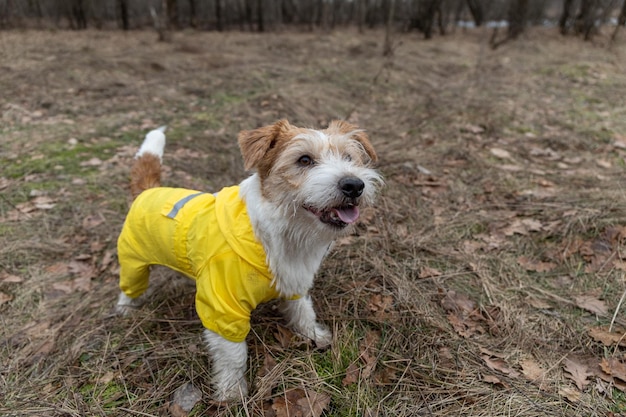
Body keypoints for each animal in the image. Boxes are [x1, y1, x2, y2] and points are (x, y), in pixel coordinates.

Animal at [115, 118, 382, 402]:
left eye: (348, 157)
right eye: (304, 159)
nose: (354, 185)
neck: (279, 232)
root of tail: (148, 190)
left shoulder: (295, 281)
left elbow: (303, 311)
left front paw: (314, 335)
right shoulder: (223, 308)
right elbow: (233, 354)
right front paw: (232, 391)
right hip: (133, 261)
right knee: (129, 288)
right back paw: (125, 309)